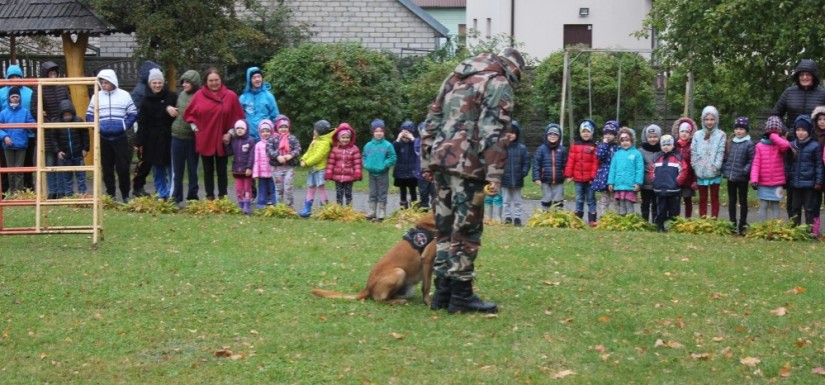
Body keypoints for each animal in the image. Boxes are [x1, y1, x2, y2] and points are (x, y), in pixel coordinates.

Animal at [310, 213, 438, 304]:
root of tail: (368, 287)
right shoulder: (428, 260)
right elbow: (426, 286)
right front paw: (428, 302)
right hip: (399, 272)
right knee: (380, 299)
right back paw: (398, 301)